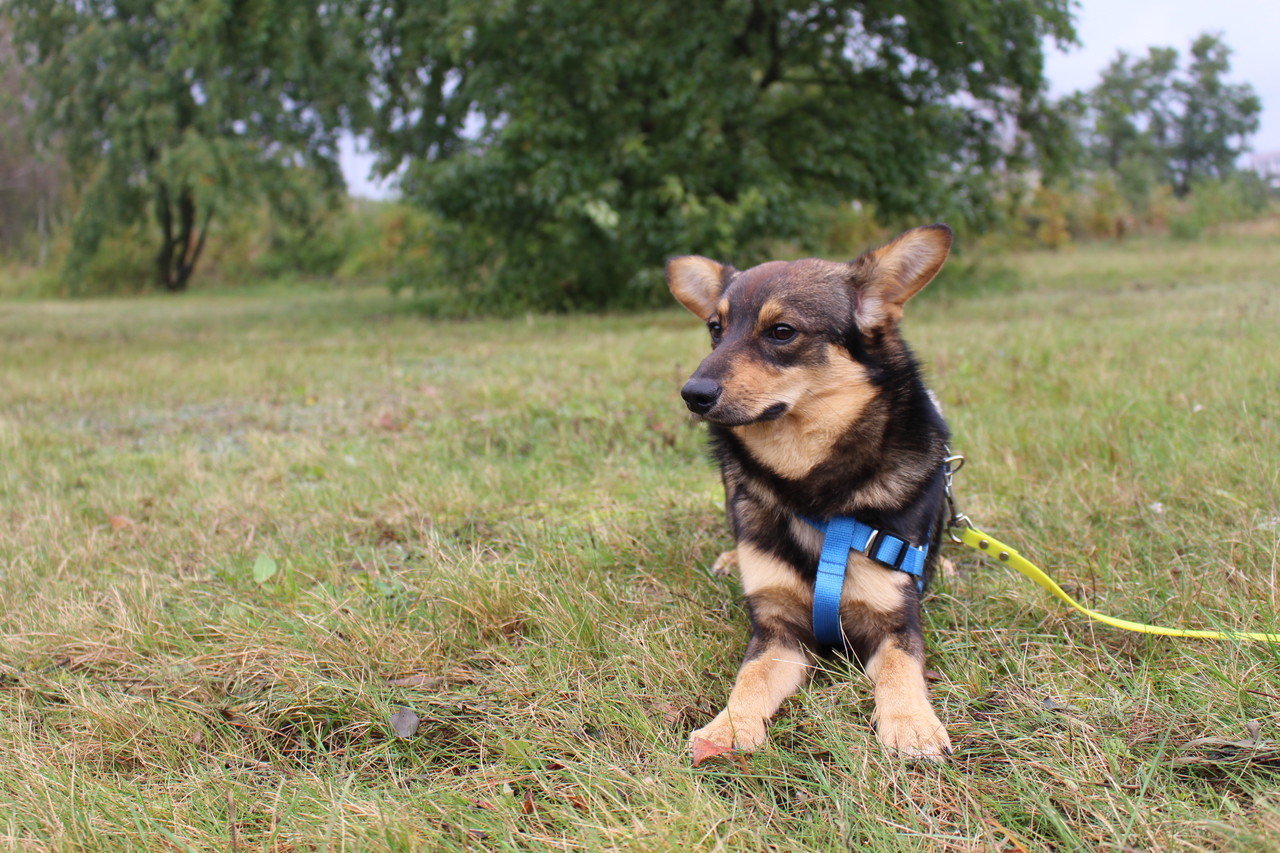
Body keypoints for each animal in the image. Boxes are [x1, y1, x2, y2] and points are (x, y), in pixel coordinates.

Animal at [666, 224, 954, 759]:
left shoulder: (894, 621)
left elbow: (902, 669)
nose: (692, 395)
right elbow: (751, 678)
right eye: (716, 329)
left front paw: (912, 724)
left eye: (782, 331)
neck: (811, 490)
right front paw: (728, 727)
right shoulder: (778, 629)